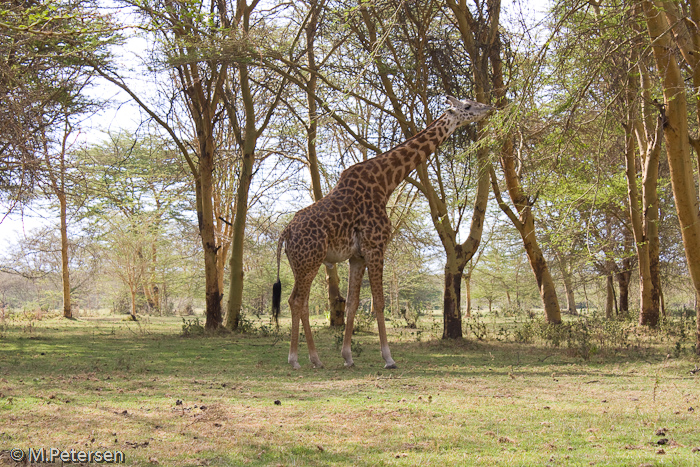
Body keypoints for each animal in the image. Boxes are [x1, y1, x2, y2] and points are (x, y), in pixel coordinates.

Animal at [270, 96, 494, 370]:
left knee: (299, 302)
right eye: (468, 106)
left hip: (301, 265)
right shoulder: (376, 246)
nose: (489, 108)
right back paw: (295, 360)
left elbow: (353, 304)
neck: (386, 182)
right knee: (296, 301)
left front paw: (348, 356)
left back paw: (315, 359)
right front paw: (388, 358)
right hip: (309, 262)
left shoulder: (357, 256)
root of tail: (285, 232)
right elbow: (379, 302)